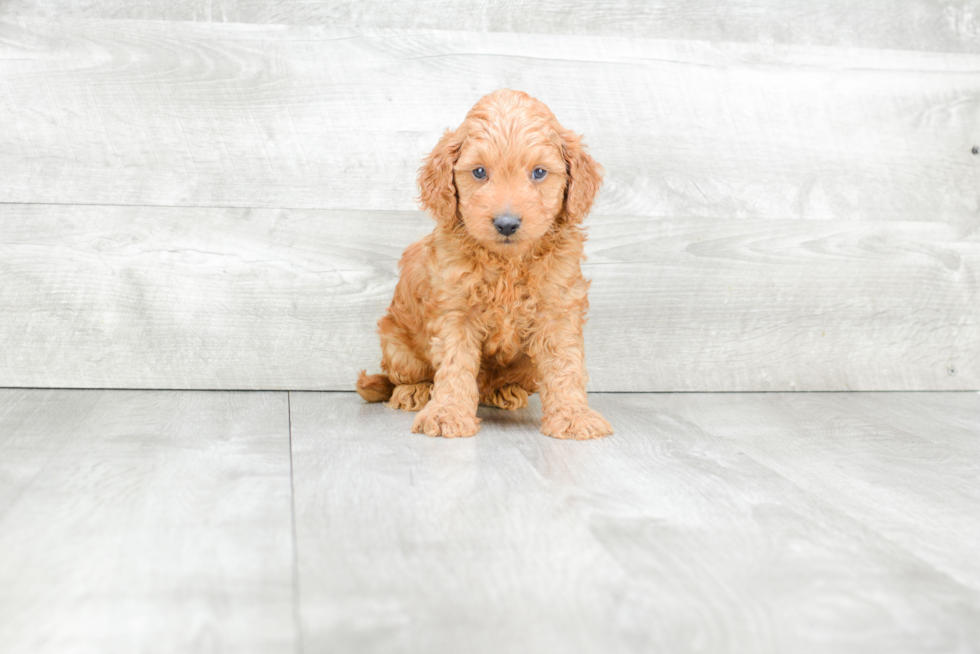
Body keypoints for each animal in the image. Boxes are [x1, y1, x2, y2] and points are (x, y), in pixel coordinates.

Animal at [356, 88, 608, 440]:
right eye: (479, 172)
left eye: (539, 173)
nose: (506, 223)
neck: (507, 263)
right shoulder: (454, 310)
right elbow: (454, 364)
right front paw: (447, 414)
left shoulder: (557, 309)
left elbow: (565, 364)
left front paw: (574, 416)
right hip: (397, 345)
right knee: (401, 377)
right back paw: (415, 391)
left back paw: (503, 390)